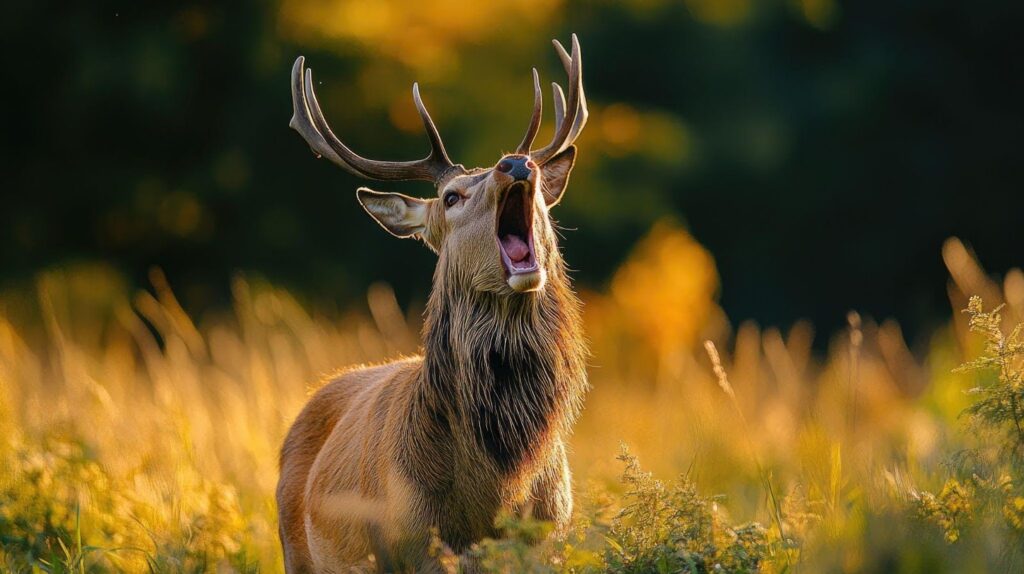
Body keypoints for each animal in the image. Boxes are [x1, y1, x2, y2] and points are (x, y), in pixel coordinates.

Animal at [277, 35, 590, 573]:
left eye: (540, 200)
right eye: (451, 197)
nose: (516, 162)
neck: (494, 491)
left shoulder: (550, 536)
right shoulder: (411, 548)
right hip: (296, 548)